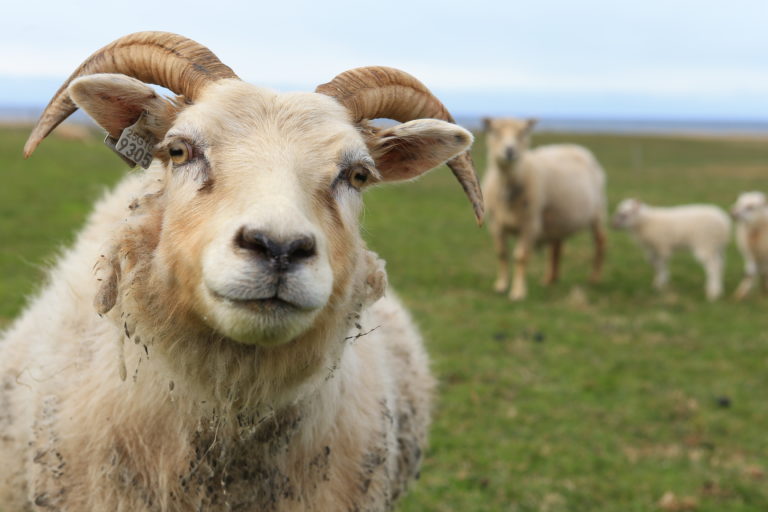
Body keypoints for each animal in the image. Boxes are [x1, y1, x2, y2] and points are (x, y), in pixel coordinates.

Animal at [480, 117, 608, 300]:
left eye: (522, 133)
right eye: (495, 131)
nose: (510, 151)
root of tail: (575, 147)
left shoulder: (529, 224)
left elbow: (520, 257)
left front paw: (518, 292)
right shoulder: (495, 224)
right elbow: (502, 254)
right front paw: (501, 285)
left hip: (597, 212)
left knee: (600, 242)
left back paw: (595, 278)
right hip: (558, 217)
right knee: (556, 247)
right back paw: (550, 279)